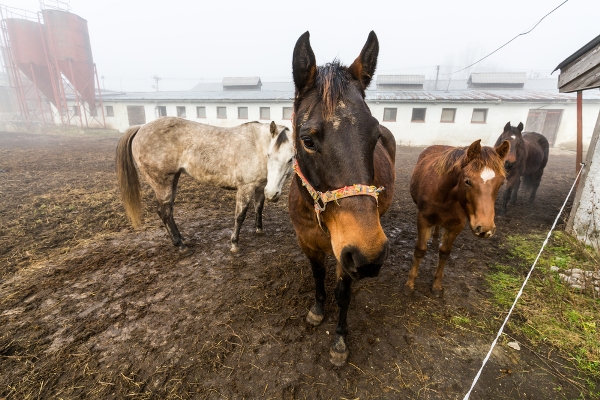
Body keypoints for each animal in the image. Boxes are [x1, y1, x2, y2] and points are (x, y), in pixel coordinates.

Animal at [290, 30, 396, 366]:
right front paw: (317, 311)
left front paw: (339, 340)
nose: (370, 255)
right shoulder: (308, 244)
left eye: (374, 137)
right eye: (307, 140)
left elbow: (343, 293)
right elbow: (317, 277)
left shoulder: (344, 255)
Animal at [406, 138, 508, 296]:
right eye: (467, 181)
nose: (485, 229)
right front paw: (410, 284)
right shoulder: (423, 220)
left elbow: (445, 253)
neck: (446, 195)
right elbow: (420, 250)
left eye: (501, 183)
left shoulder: (456, 226)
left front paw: (437, 285)